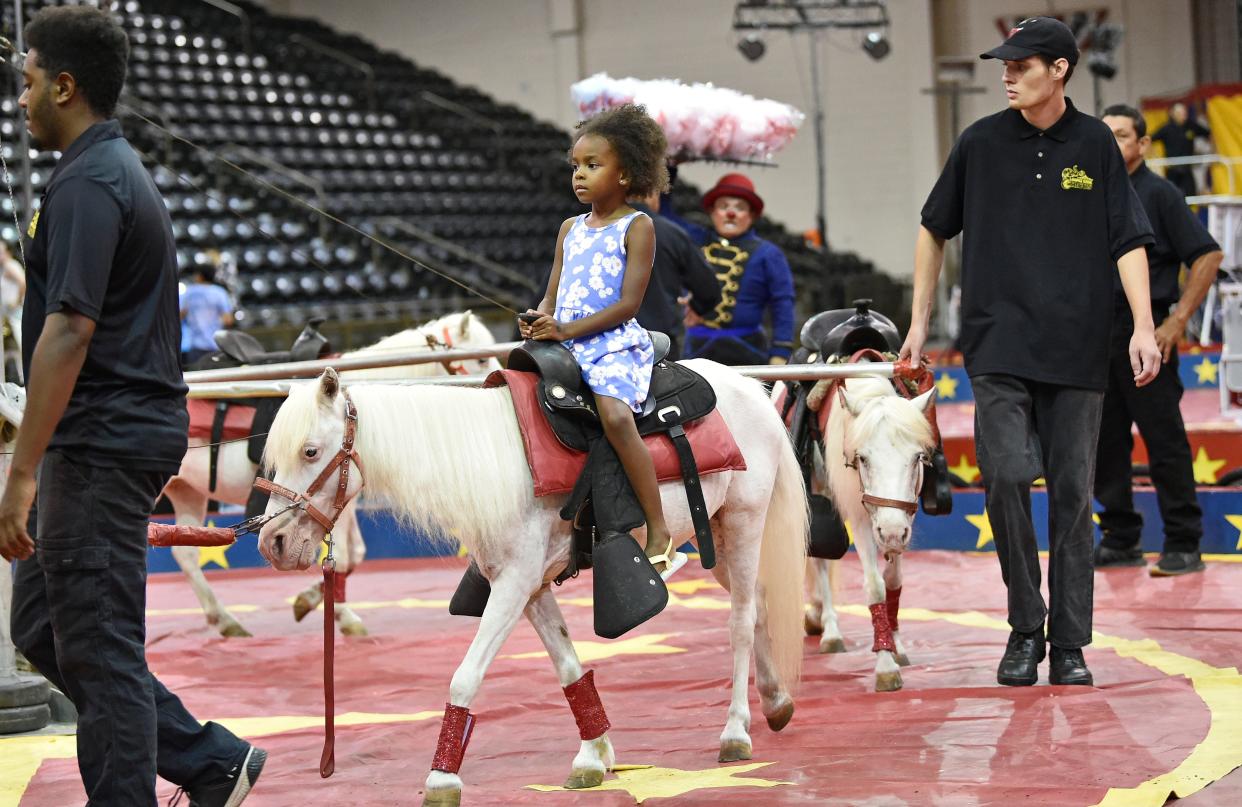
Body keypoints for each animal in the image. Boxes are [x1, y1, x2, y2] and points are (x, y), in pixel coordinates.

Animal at [161, 312, 499, 635]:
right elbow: (347, 556)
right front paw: (327, 608)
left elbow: (354, 554)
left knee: (185, 553)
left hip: (186, 491)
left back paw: (222, 619)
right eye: (482, 359)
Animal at [257, 362, 809, 799]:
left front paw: (442, 778)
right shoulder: (531, 588)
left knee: (740, 622)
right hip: (716, 541)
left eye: (310, 452)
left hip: (744, 523)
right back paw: (776, 701)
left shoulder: (514, 585)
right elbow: (568, 667)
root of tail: (747, 386)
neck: (495, 463)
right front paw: (593, 755)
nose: (273, 543)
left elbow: (466, 676)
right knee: (760, 606)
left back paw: (735, 732)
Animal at [799, 374, 933, 690]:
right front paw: (885, 665)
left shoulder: (902, 518)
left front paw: (896, 645)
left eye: (917, 457)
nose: (892, 531)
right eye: (862, 459)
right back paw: (830, 630)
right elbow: (874, 585)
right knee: (820, 562)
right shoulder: (860, 518)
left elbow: (893, 580)